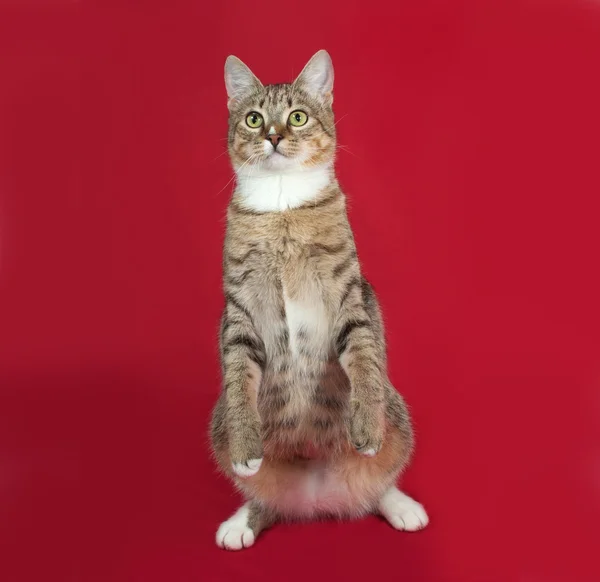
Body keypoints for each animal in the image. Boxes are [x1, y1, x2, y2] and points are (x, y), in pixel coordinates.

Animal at [211, 50, 426, 552]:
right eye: (254, 118)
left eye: (297, 116)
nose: (273, 136)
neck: (283, 205)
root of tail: (314, 499)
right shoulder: (239, 311)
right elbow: (238, 380)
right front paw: (247, 445)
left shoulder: (349, 295)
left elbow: (364, 360)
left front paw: (364, 426)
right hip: (217, 425)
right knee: (263, 496)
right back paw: (242, 520)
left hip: (399, 418)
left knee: (377, 483)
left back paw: (401, 505)